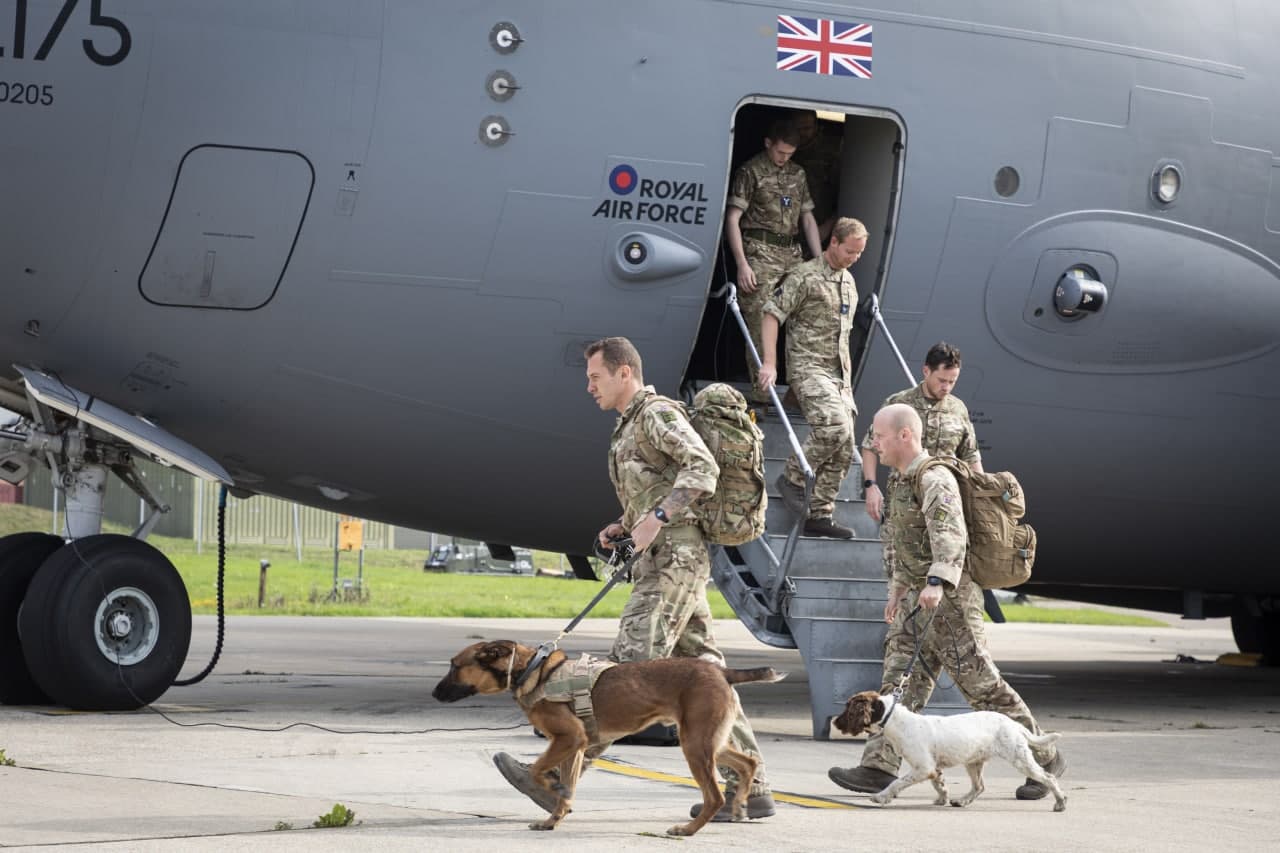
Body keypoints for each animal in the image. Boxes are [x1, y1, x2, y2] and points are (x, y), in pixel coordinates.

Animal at [435, 637, 783, 829]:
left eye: (454, 666)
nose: (435, 694)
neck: (531, 671)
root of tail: (721, 671)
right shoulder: (575, 747)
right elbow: (566, 787)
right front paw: (553, 819)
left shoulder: (569, 739)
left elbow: (537, 770)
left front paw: (550, 788)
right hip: (709, 741)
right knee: (748, 763)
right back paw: (739, 805)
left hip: (695, 745)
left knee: (713, 796)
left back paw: (687, 830)